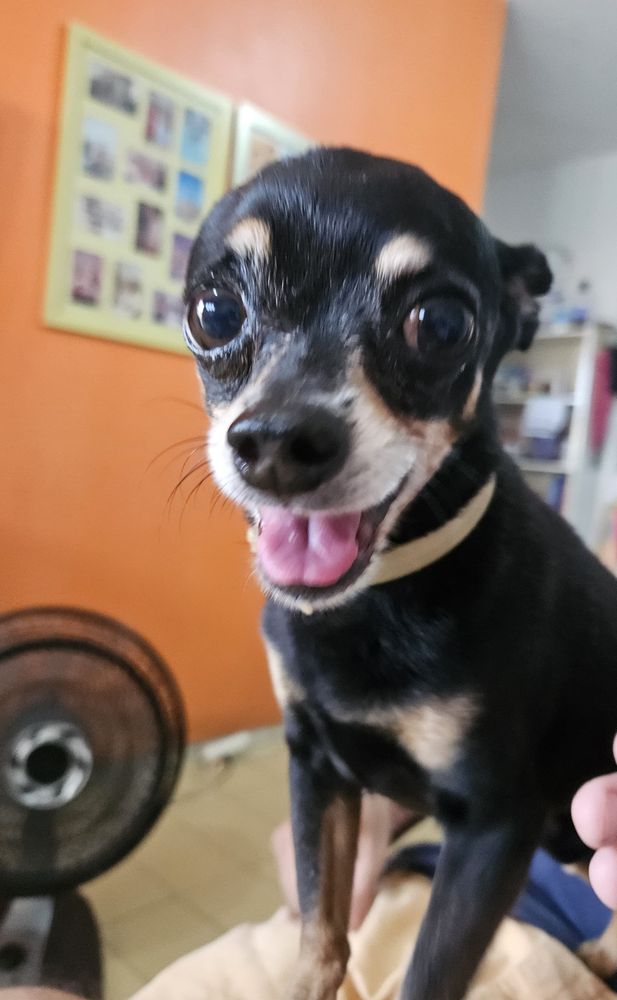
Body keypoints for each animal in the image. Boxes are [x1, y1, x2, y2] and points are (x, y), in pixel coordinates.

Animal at [183, 148, 617, 1000]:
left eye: (440, 325)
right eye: (212, 311)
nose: (277, 441)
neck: (375, 602)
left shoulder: (492, 826)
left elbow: (428, 974)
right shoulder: (318, 767)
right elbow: (320, 926)